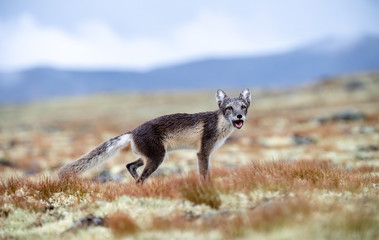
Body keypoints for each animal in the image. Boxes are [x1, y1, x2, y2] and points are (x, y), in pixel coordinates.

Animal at [58, 89, 251, 185]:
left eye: (243, 107)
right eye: (229, 108)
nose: (239, 117)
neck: (220, 124)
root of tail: (133, 131)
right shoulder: (202, 153)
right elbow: (204, 175)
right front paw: (207, 188)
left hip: (149, 156)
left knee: (130, 166)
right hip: (157, 157)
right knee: (139, 177)